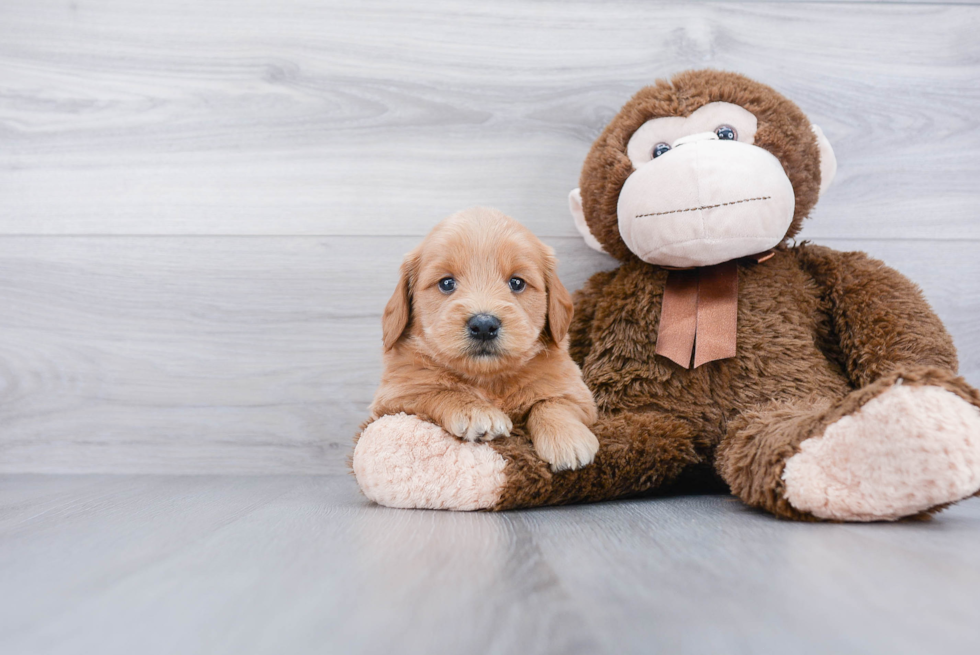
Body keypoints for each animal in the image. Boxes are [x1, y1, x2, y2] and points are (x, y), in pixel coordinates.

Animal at [368, 208, 596, 468]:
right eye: (446, 283)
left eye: (517, 282)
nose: (484, 325)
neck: (488, 379)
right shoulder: (394, 397)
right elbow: (438, 391)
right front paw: (476, 412)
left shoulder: (577, 393)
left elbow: (553, 402)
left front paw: (568, 438)